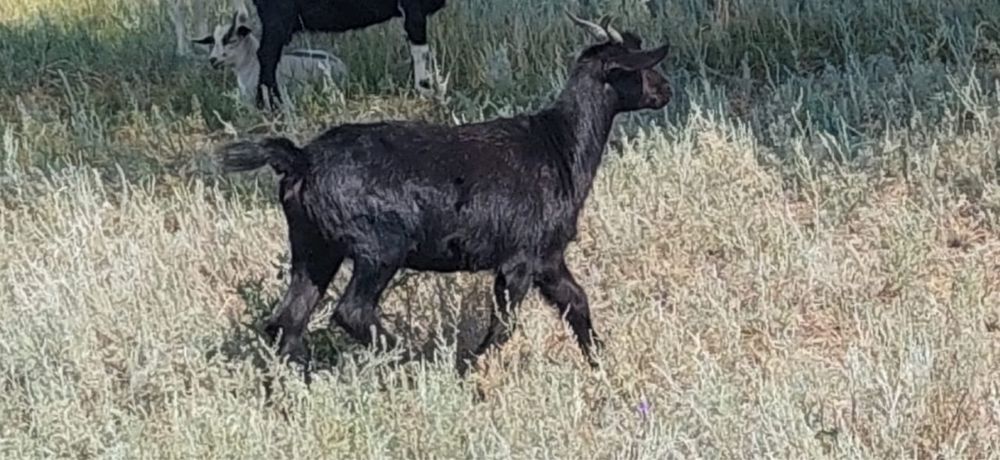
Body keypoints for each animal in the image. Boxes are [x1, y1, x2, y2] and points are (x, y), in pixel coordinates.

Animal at [216, 13, 672, 375]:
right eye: (639, 66)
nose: (665, 90)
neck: (558, 143)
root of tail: (301, 160)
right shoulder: (520, 258)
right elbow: (504, 324)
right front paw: (468, 367)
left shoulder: (548, 256)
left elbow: (576, 302)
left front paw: (599, 362)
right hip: (380, 246)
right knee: (350, 312)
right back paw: (412, 358)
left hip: (313, 247)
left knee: (287, 320)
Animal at [248, 0, 447, 109]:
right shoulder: (413, 8)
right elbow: (421, 50)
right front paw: (426, 90)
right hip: (278, 14)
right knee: (267, 55)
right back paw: (272, 104)